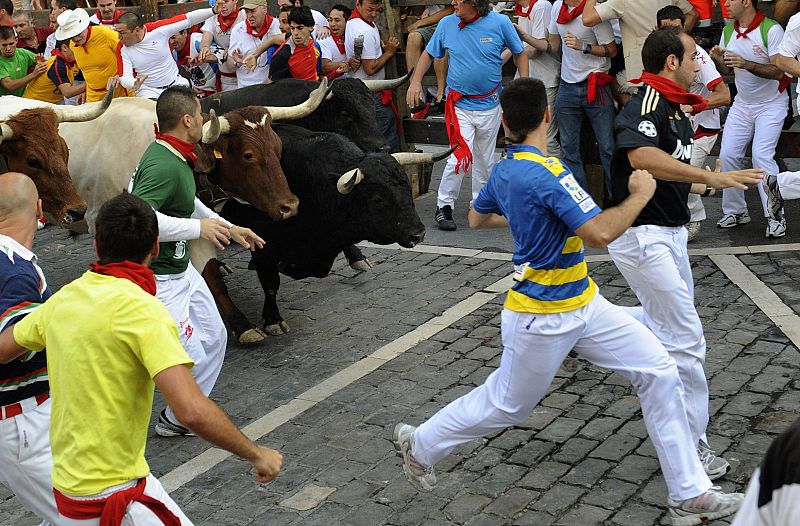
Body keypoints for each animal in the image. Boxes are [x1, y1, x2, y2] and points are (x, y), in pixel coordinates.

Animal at [199, 125, 428, 340]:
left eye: (408, 189)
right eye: (378, 199)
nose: (418, 234)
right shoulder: (263, 244)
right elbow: (271, 282)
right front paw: (273, 320)